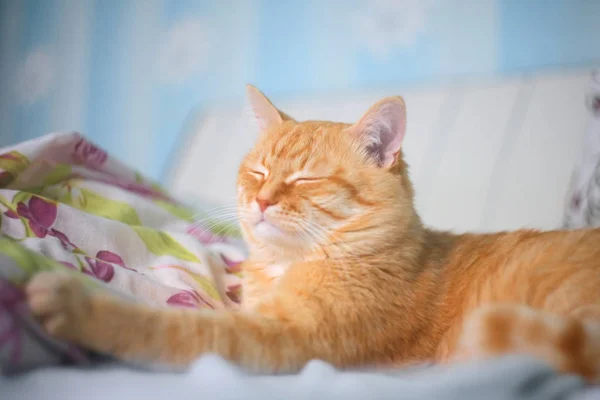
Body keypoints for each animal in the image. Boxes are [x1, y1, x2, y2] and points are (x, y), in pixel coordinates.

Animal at [27, 85, 600, 382]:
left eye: (304, 179)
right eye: (258, 171)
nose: (261, 199)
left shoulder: (287, 339)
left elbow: (173, 330)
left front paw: (78, 305)